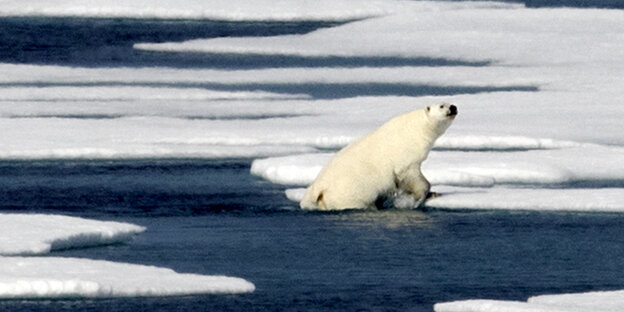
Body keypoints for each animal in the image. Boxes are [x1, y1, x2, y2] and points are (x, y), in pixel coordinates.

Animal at [300, 103, 456, 211]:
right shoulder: (405, 156)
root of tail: (317, 188)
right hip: (348, 192)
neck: (416, 128)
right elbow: (411, 177)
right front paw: (421, 197)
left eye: (449, 102)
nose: (453, 107)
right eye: (442, 105)